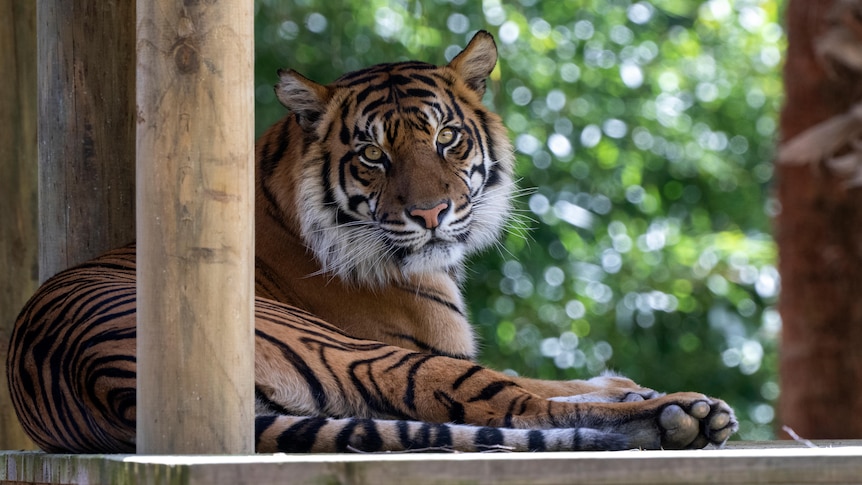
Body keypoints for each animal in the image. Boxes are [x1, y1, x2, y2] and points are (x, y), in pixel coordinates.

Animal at [5, 31, 736, 454]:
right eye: (372, 154)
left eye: (446, 137)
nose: (432, 213)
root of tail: (105, 382)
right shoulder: (425, 349)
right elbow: (526, 384)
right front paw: (644, 396)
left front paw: (628, 384)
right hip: (362, 355)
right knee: (512, 404)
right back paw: (683, 416)